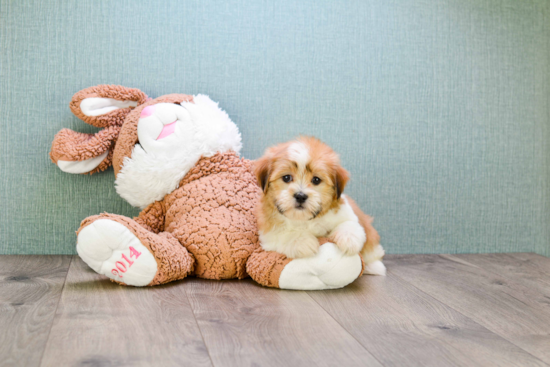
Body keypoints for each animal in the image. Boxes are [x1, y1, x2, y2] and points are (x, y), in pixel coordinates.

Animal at [256, 137, 386, 274]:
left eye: (316, 180)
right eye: (286, 177)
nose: (300, 196)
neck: (305, 219)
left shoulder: (345, 214)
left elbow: (349, 224)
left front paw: (348, 239)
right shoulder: (268, 234)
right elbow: (283, 234)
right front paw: (302, 241)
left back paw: (374, 266)